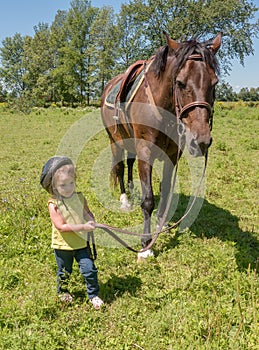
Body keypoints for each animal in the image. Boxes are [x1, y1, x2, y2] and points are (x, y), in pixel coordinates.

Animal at [100, 31, 222, 258]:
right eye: (180, 83)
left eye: (214, 83)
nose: (201, 140)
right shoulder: (145, 151)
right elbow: (148, 200)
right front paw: (146, 245)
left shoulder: (173, 154)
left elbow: (165, 192)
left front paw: (161, 225)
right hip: (115, 141)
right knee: (120, 167)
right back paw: (125, 200)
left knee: (129, 164)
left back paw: (132, 190)